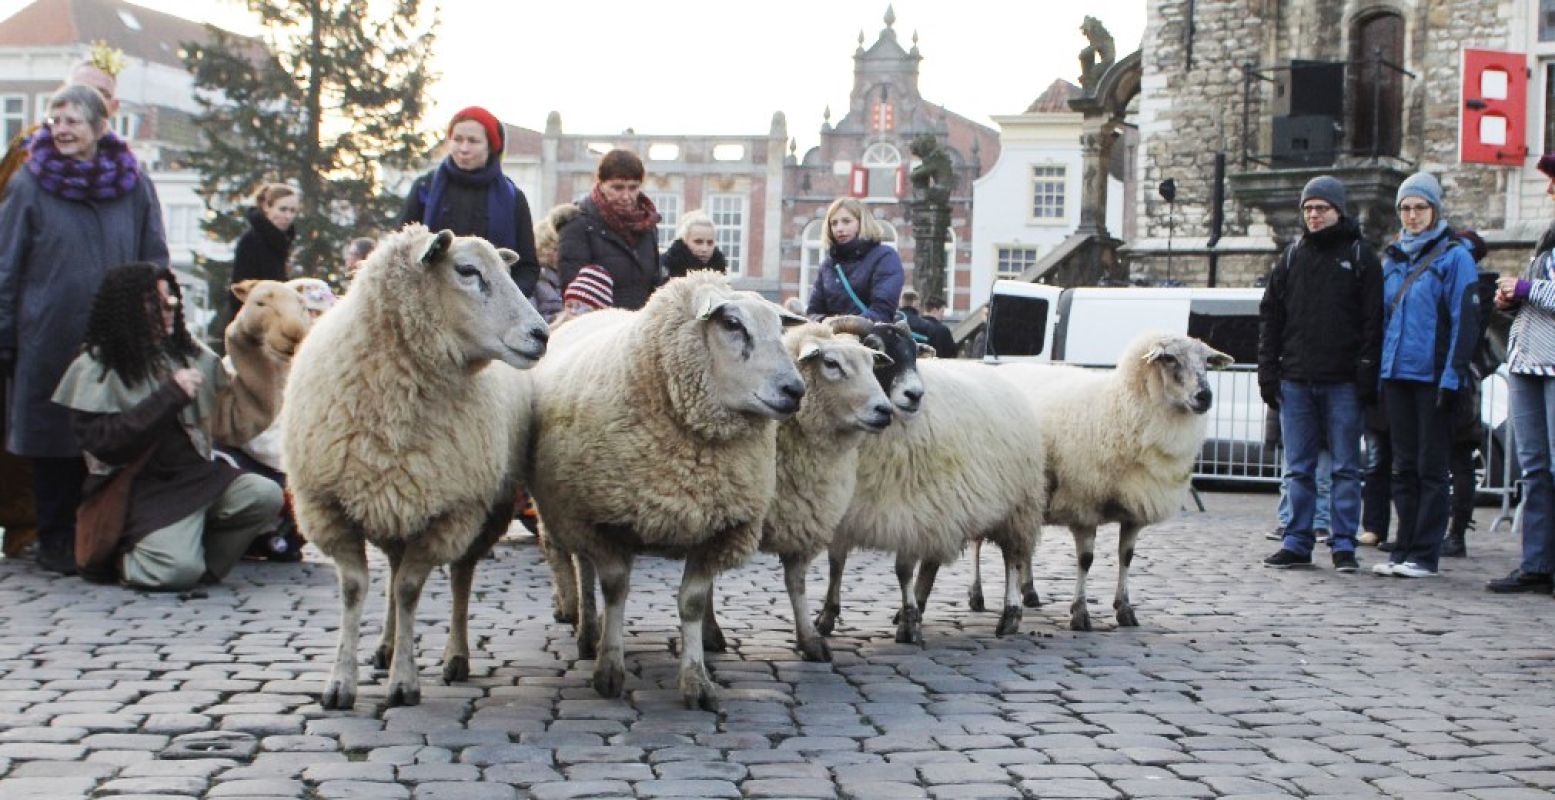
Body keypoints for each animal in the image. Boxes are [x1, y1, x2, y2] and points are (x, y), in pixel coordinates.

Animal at [283, 222, 550, 703]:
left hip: (481, 511)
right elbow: (356, 590)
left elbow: (409, 590)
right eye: (467, 271)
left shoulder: (448, 513)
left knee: (460, 576)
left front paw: (404, 681)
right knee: (390, 571)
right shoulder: (327, 506)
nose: (542, 335)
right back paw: (385, 647)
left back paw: (455, 656)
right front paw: (340, 682)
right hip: (394, 501)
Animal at [531, 270, 808, 706]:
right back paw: (587, 632)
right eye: (732, 324)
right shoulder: (604, 521)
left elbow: (691, 603)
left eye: (780, 329)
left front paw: (695, 680)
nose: (795, 391)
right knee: (582, 570)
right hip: (569, 516)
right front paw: (609, 669)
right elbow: (615, 590)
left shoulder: (721, 528)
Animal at [702, 315, 895, 659]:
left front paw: (810, 640)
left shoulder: (803, 515)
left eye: (873, 364)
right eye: (831, 364)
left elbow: (797, 583)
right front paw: (709, 633)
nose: (884, 410)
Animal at [988, 329, 1231, 628]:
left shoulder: (1136, 507)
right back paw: (981, 598)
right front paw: (1080, 612)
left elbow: (1126, 557)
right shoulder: (1083, 504)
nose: (1205, 396)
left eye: (1207, 361)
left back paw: (1029, 591)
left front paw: (1124, 608)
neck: (1121, 406)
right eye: (1169, 358)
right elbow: (1086, 560)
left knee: (1023, 546)